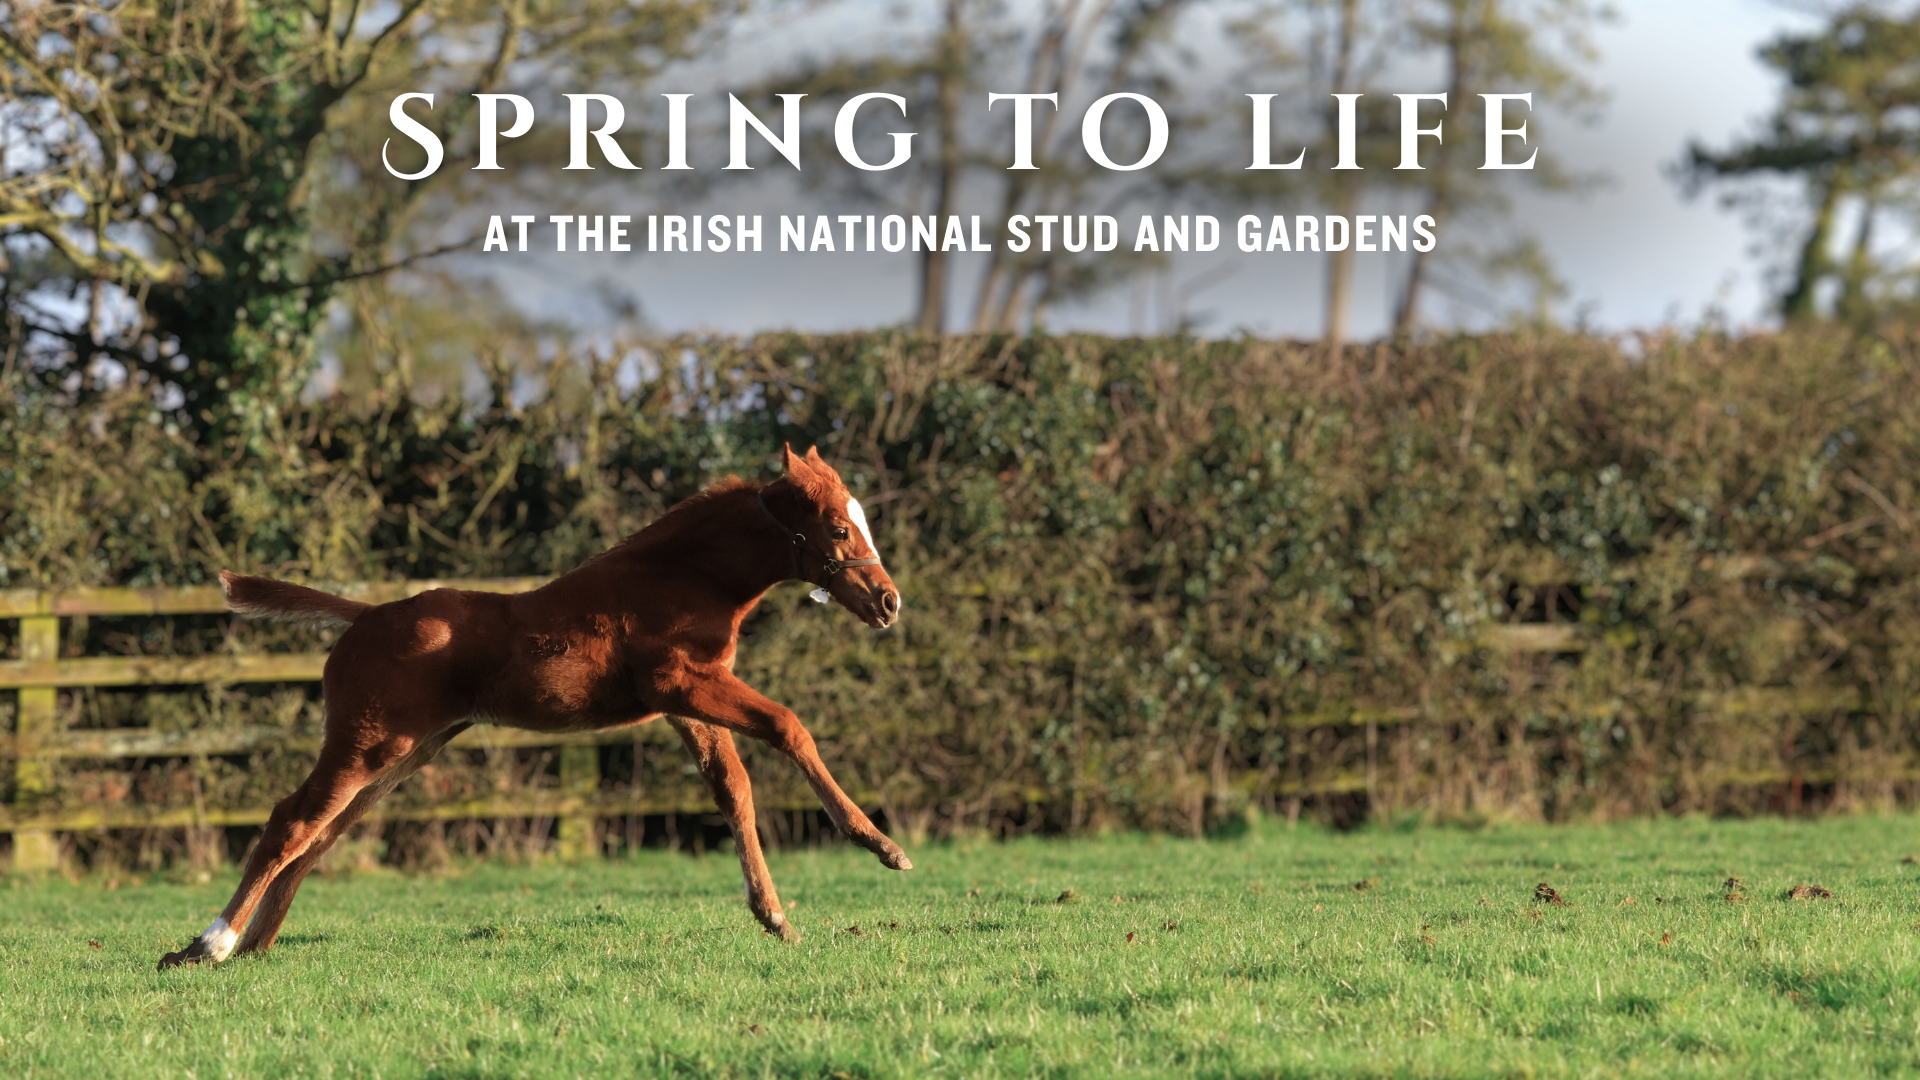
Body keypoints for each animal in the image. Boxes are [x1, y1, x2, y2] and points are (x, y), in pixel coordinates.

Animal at [158, 445, 909, 968]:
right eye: (839, 528)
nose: (888, 602)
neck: (683, 577)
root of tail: (365, 615)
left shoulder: (688, 698)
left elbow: (734, 789)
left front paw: (776, 916)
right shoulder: (679, 683)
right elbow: (789, 726)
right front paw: (880, 845)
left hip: (402, 754)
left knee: (320, 834)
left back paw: (254, 947)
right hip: (368, 744)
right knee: (291, 821)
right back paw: (210, 944)